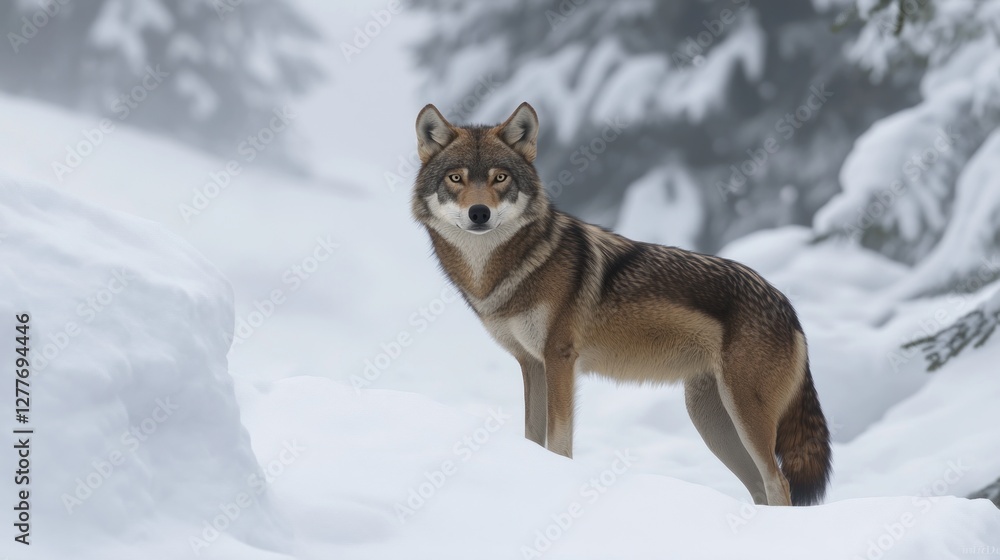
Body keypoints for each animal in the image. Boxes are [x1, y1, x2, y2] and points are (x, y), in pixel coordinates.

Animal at [410, 102, 832, 506]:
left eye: (500, 178)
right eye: (456, 178)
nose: (479, 213)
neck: (510, 266)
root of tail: (787, 307)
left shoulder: (560, 359)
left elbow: (559, 443)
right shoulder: (531, 364)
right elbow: (533, 439)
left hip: (743, 416)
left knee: (778, 483)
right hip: (711, 421)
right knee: (759, 489)